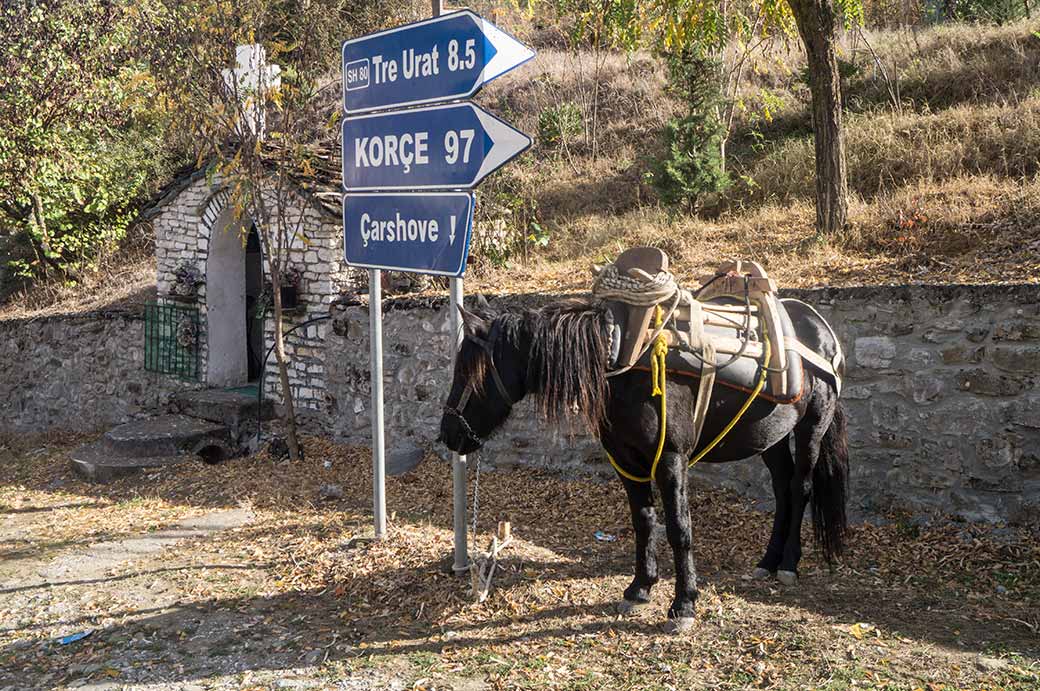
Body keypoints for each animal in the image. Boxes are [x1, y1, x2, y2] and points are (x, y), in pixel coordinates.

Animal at [436, 297, 844, 632]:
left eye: (468, 372)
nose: (448, 433)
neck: (624, 362)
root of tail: (820, 327)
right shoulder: (626, 460)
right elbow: (644, 521)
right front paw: (640, 587)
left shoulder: (671, 460)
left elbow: (679, 529)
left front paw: (684, 604)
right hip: (770, 437)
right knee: (782, 489)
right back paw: (769, 560)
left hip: (812, 427)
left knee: (800, 488)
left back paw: (788, 563)